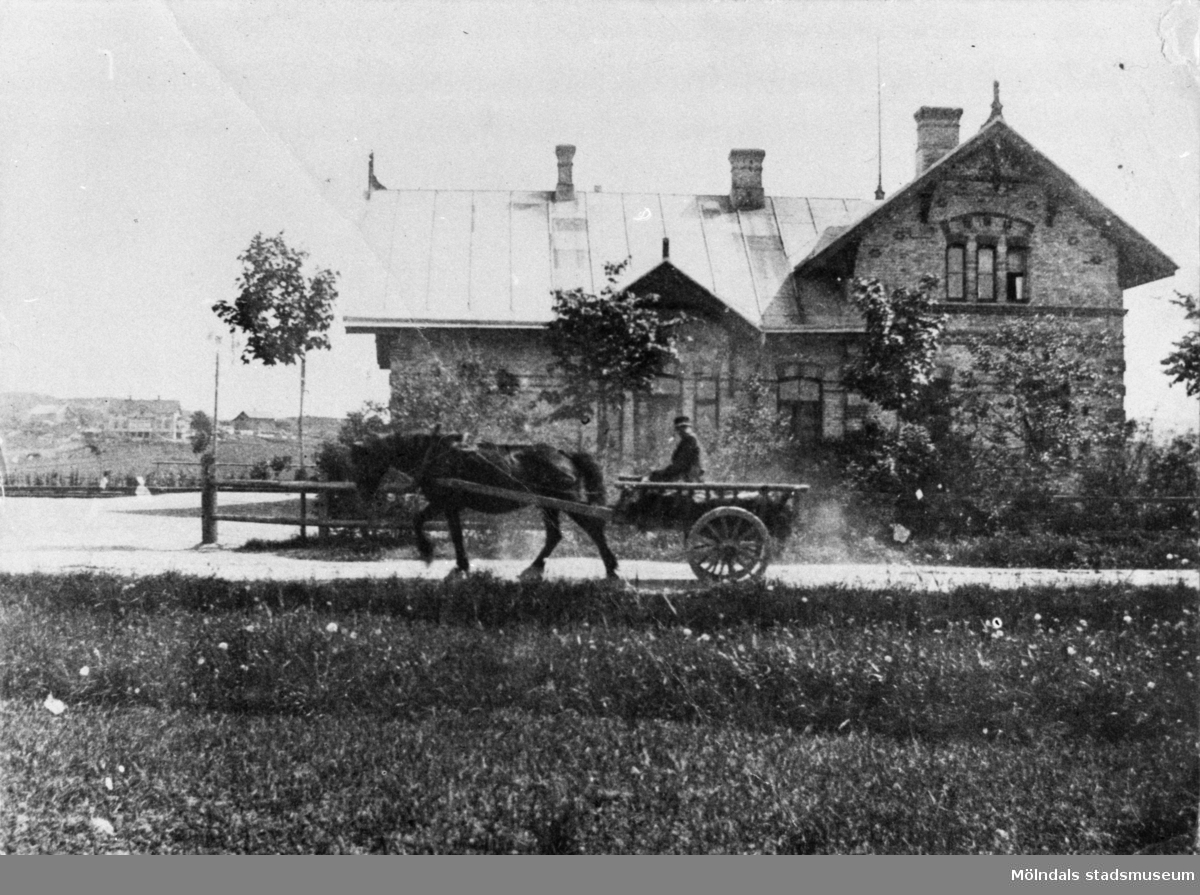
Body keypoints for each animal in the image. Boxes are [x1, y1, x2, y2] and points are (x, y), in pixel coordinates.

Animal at [348, 429, 624, 578]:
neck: (432, 453)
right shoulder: (447, 505)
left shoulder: (445, 502)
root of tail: (565, 454)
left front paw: (431, 555)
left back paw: (612, 569)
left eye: (363, 459)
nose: (362, 493)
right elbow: (448, 532)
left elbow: (431, 526)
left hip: (567, 500)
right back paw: (534, 568)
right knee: (554, 536)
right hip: (548, 505)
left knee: (594, 528)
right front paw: (459, 565)